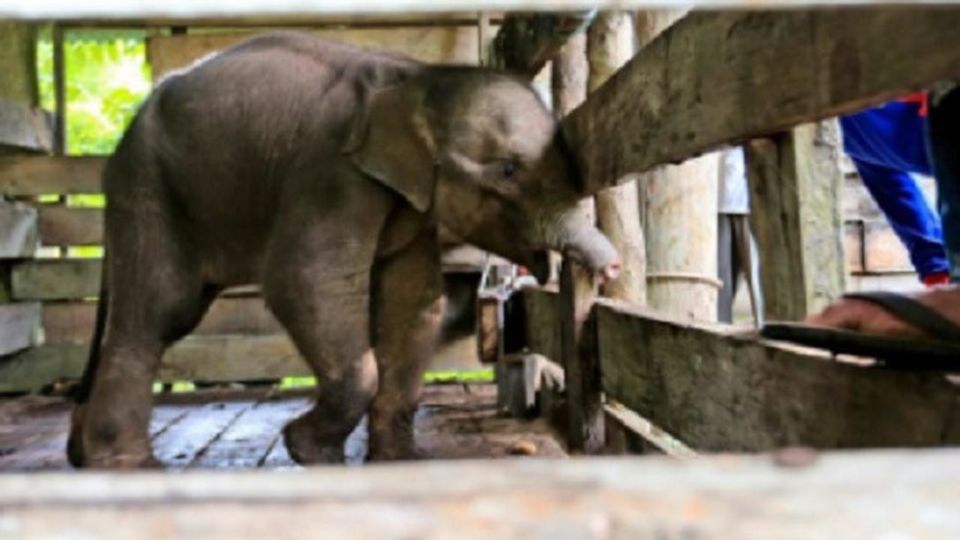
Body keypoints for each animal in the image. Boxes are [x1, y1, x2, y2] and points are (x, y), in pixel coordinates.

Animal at [69, 31, 624, 468]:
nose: (614, 268)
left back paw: (87, 454)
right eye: (508, 170)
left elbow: (415, 299)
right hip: (149, 186)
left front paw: (399, 461)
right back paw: (125, 464)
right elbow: (305, 279)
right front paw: (306, 451)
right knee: (161, 310)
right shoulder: (332, 173)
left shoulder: (407, 201)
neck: (417, 82)